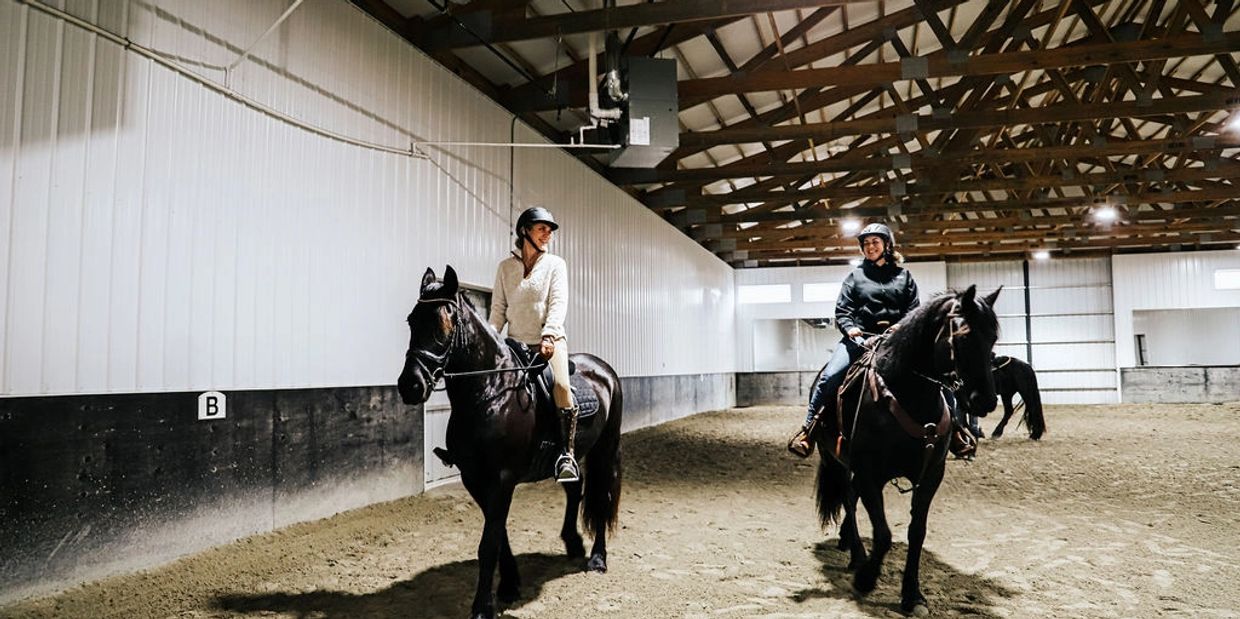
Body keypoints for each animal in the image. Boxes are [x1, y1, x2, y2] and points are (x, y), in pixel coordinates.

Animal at [396, 266, 624, 619]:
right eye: (411, 320)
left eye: (443, 324)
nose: (410, 385)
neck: (489, 392)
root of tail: (603, 369)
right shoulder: (474, 477)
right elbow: (498, 533)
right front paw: (509, 585)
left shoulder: (502, 478)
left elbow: (489, 542)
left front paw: (482, 607)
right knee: (575, 489)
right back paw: (573, 544)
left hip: (606, 447)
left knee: (602, 495)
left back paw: (598, 559)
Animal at [808, 285, 1001, 615]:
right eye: (963, 335)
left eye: (993, 338)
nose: (986, 400)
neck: (910, 395)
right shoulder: (869, 473)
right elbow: (883, 534)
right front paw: (866, 579)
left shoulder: (931, 475)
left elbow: (916, 532)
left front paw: (912, 594)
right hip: (835, 460)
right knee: (848, 499)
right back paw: (857, 555)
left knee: (852, 497)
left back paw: (848, 542)